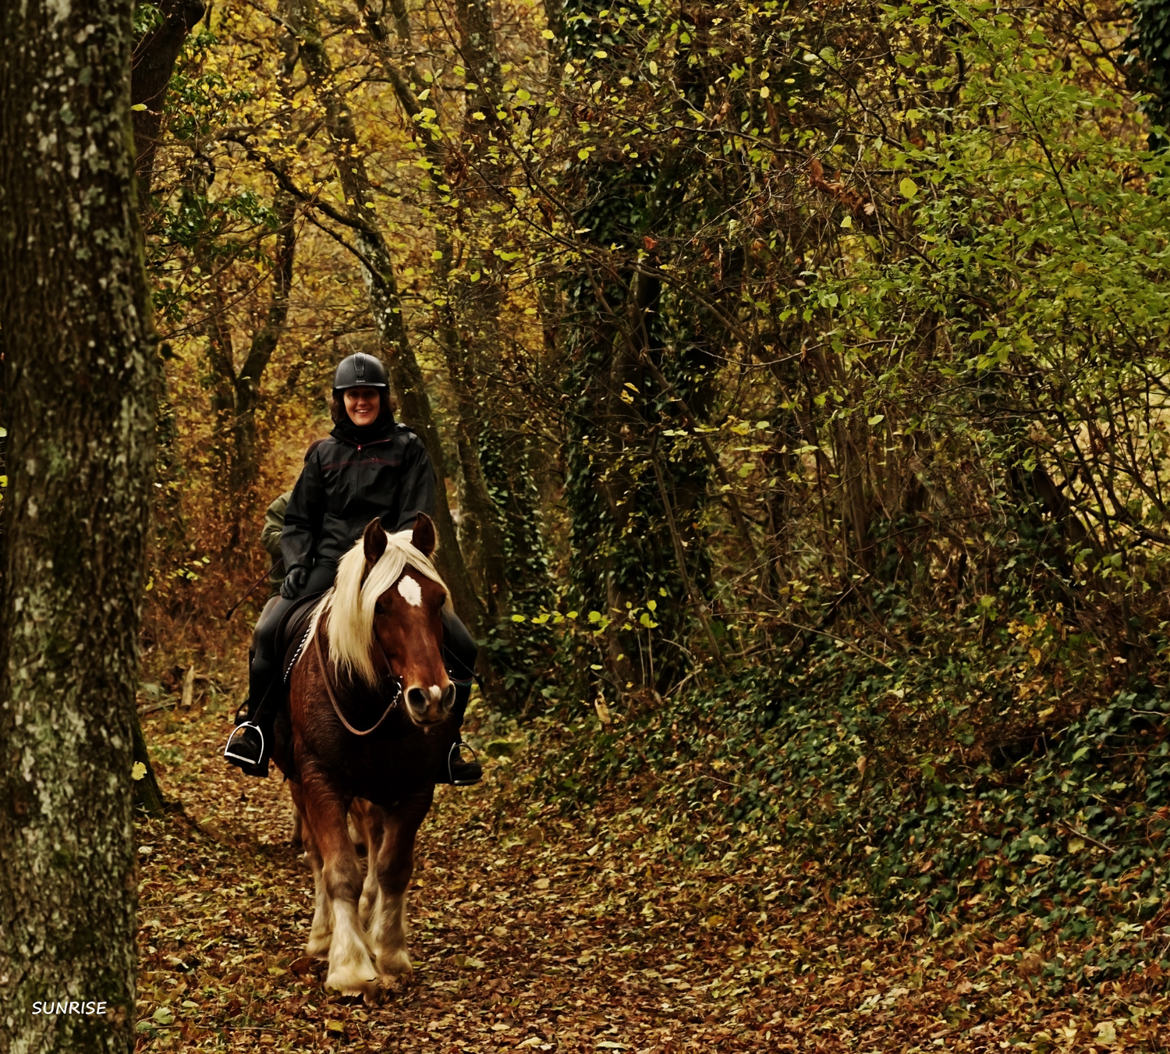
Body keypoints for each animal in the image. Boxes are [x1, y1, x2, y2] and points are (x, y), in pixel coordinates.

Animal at [273, 514, 456, 992]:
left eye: (438, 600)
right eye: (383, 606)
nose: (431, 697)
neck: (371, 702)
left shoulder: (416, 786)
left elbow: (393, 867)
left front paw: (389, 952)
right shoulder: (320, 781)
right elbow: (338, 869)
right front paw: (350, 966)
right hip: (300, 783)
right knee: (316, 856)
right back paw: (322, 937)